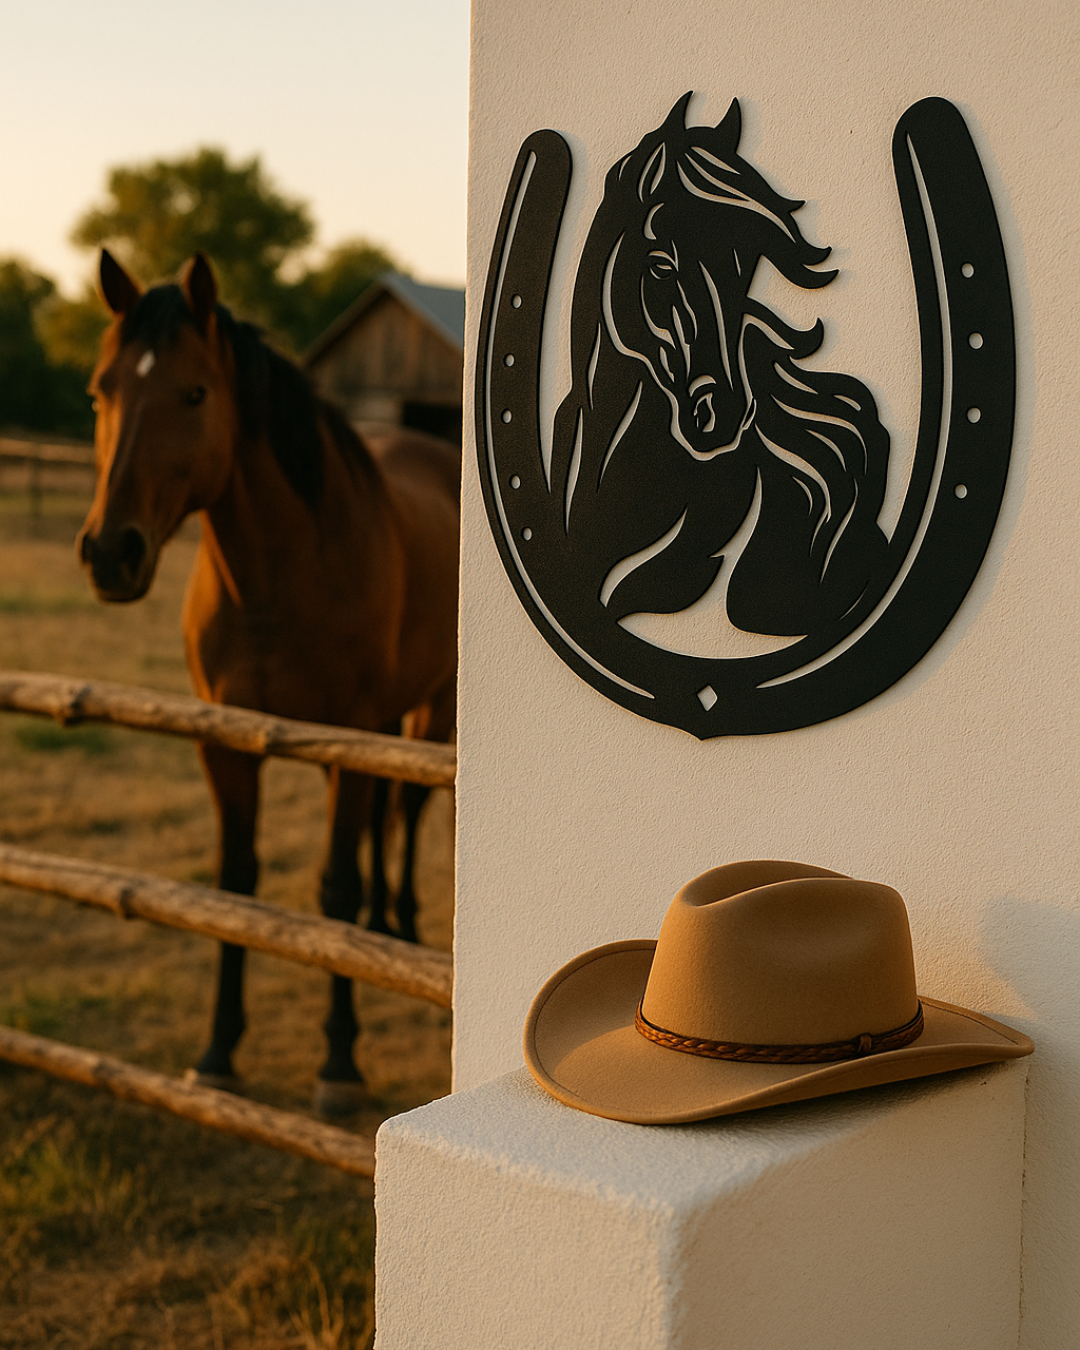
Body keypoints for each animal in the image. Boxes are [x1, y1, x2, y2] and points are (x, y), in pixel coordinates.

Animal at [77, 250, 459, 1114]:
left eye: (194, 392)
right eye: (99, 390)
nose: (111, 552)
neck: (278, 580)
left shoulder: (347, 741)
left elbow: (335, 889)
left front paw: (339, 1064)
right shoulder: (226, 742)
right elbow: (235, 890)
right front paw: (218, 1050)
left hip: (433, 710)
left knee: (410, 808)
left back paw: (400, 924)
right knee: (389, 814)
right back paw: (383, 930)